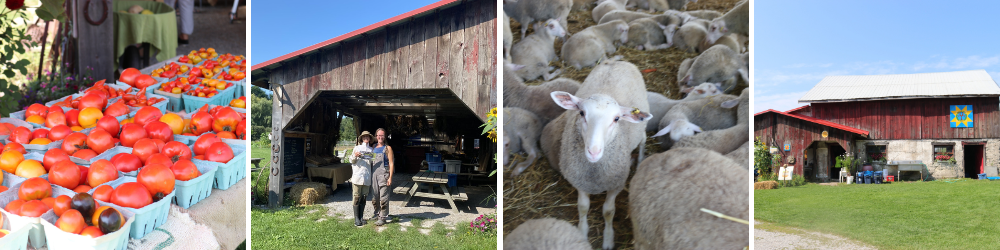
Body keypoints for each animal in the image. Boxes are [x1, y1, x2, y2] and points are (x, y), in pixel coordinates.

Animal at [540, 59, 648, 250]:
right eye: (582, 113)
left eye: (616, 119)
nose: (593, 151)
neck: (594, 173)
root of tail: (616, 61)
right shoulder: (580, 181)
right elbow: (583, 207)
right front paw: (582, 232)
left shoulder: (616, 184)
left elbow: (608, 211)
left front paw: (608, 239)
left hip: (642, 127)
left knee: (643, 139)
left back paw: (641, 159)